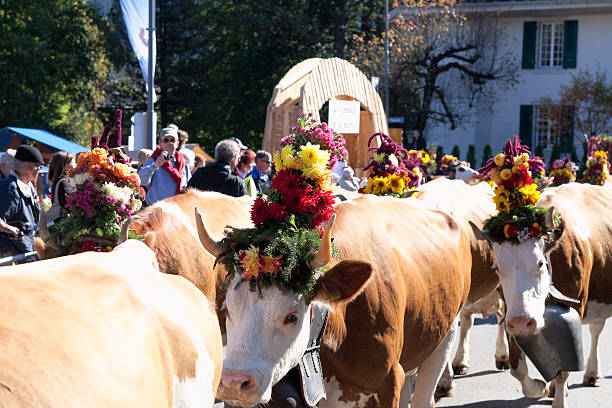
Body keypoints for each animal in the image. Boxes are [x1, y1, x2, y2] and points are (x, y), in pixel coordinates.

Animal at [476, 182, 612, 408]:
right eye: (497, 268)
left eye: (540, 263)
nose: (523, 322)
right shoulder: (511, 312)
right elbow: (517, 369)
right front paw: (541, 387)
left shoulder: (576, 307)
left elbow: (564, 369)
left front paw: (559, 400)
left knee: (595, 330)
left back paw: (591, 374)